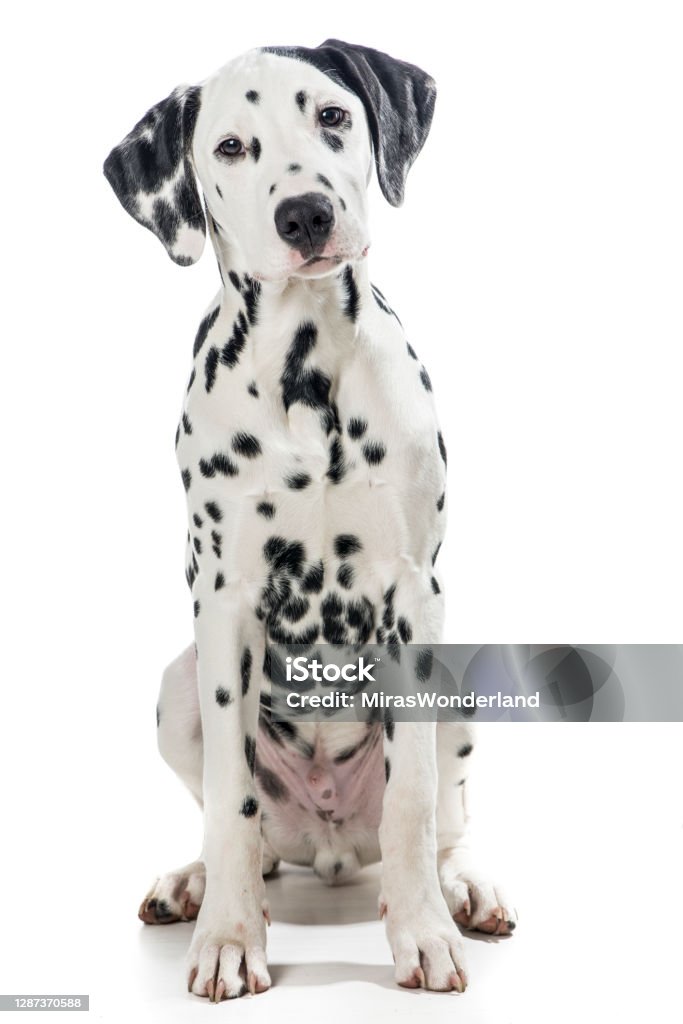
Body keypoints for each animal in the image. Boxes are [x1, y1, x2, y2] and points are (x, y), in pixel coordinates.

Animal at [104, 37, 516, 999]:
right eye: (229, 147)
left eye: (330, 115)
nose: (305, 214)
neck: (307, 372)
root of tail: (328, 844)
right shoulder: (223, 603)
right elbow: (231, 798)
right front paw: (227, 938)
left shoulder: (413, 597)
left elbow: (412, 801)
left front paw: (423, 931)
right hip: (176, 686)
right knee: (246, 837)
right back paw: (199, 884)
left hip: (459, 688)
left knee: (440, 822)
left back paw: (461, 888)